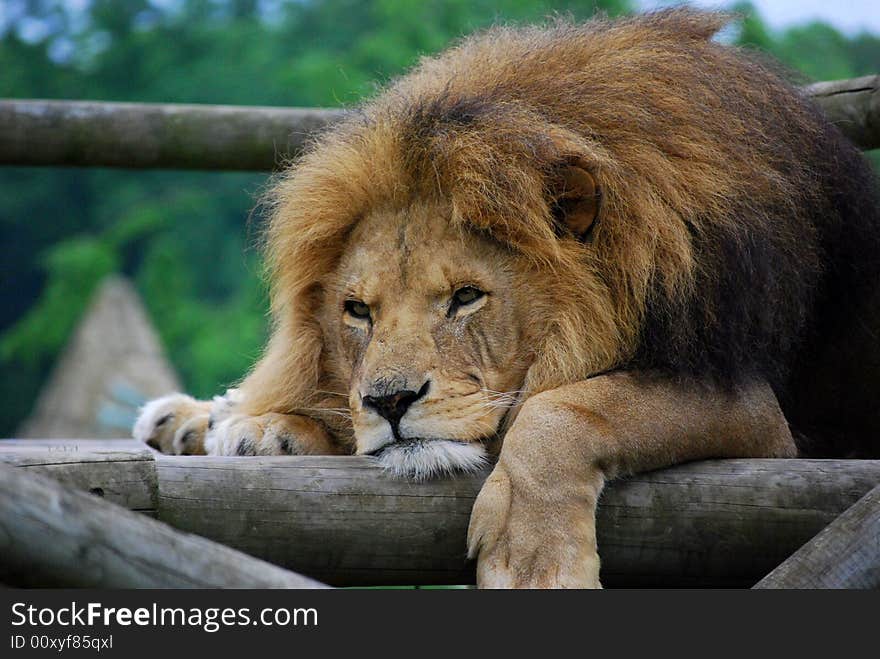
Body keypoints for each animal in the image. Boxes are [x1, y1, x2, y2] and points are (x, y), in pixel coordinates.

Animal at [134, 9, 880, 588]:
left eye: (466, 297)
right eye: (358, 311)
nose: (389, 402)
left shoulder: (756, 411)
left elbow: (564, 407)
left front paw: (532, 561)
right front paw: (256, 423)